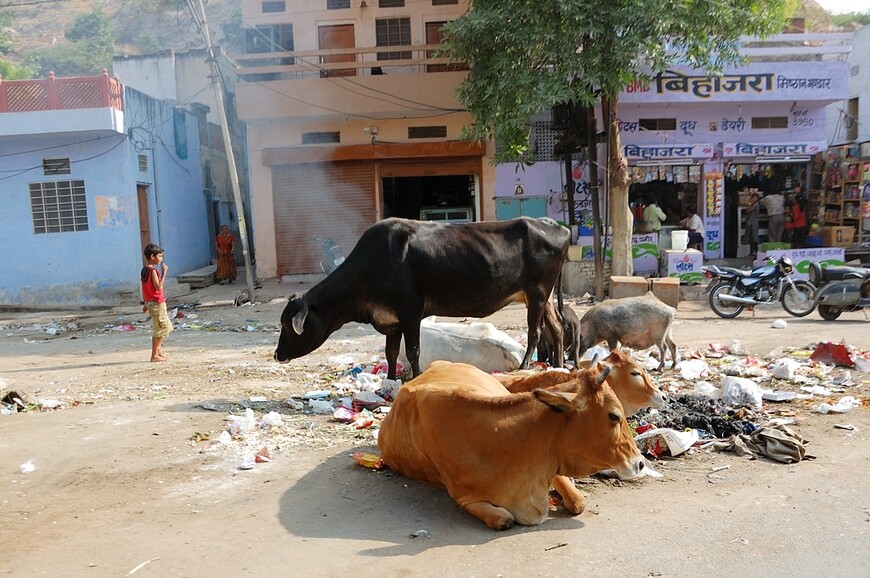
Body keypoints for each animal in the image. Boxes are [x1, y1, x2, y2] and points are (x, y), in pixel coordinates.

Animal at [274, 216, 572, 378]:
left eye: (288, 323)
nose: (278, 355)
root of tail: (555, 226)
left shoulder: (411, 311)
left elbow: (412, 351)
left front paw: (415, 379)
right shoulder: (391, 320)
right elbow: (391, 353)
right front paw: (391, 380)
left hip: (537, 292)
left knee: (535, 332)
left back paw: (526, 366)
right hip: (541, 298)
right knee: (556, 329)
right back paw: (559, 367)